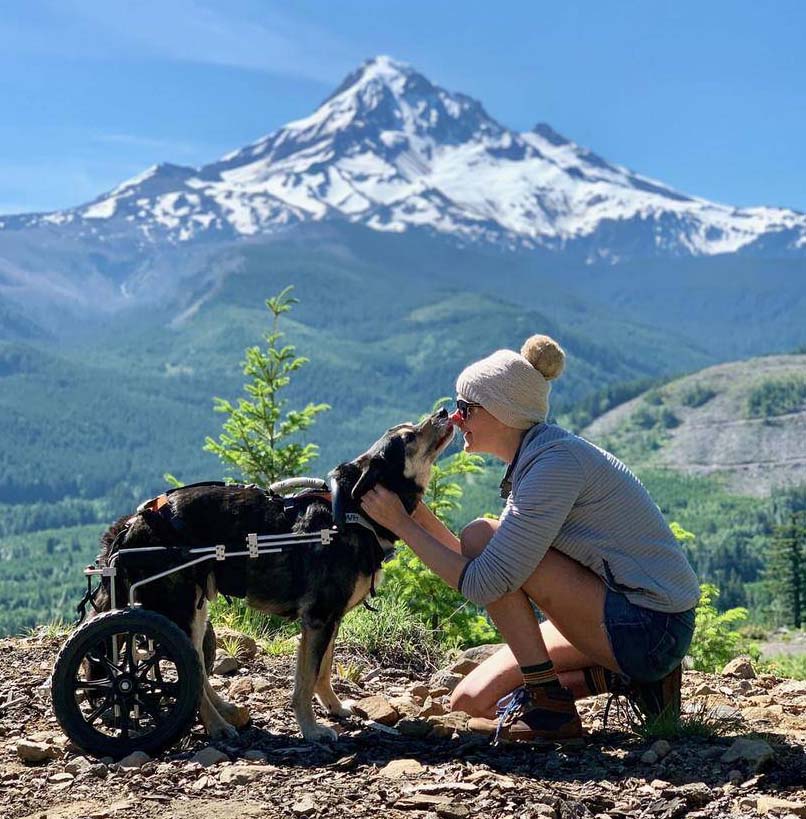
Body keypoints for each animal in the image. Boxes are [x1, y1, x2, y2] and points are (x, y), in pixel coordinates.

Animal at [94, 410, 454, 744]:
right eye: (408, 437)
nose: (443, 412)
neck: (354, 511)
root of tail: (131, 524)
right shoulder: (318, 618)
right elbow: (305, 681)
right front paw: (311, 729)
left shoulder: (330, 619)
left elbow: (323, 671)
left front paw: (335, 707)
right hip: (179, 611)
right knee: (189, 671)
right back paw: (217, 726)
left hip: (195, 612)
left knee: (198, 670)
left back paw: (225, 711)